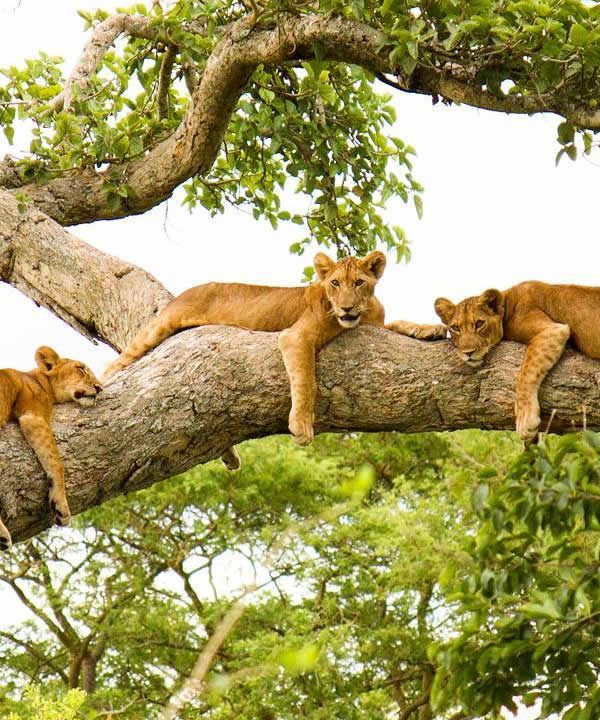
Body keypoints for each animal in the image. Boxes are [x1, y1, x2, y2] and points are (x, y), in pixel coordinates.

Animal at [103, 251, 444, 464]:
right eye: (335, 283)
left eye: (359, 282)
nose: (346, 307)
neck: (363, 313)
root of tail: (188, 290)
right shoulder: (296, 337)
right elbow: (306, 381)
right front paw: (302, 425)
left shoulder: (378, 326)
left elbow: (401, 323)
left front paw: (433, 330)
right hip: (158, 328)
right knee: (115, 365)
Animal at [433, 281, 600, 444]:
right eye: (455, 328)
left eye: (480, 324)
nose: (468, 352)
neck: (506, 304)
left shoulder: (552, 330)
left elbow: (526, 373)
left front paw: (526, 421)